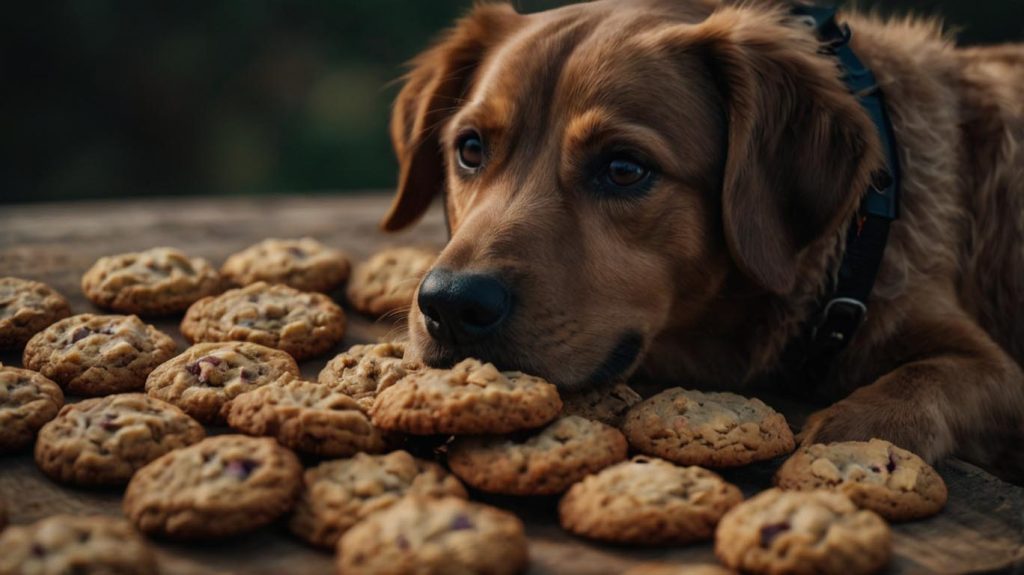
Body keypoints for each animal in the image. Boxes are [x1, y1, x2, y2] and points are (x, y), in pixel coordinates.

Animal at [380, 0, 1024, 474]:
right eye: (469, 149)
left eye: (624, 168)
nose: (450, 304)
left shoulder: (998, 370)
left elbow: (926, 378)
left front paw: (855, 437)